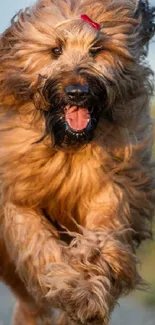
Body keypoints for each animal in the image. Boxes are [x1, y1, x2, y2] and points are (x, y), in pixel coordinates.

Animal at [0, 0, 155, 322]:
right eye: (55, 49)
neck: (68, 145)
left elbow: (102, 234)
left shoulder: (111, 185)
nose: (77, 92)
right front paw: (69, 285)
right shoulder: (18, 197)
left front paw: (86, 290)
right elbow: (37, 243)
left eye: (97, 49)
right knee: (28, 299)